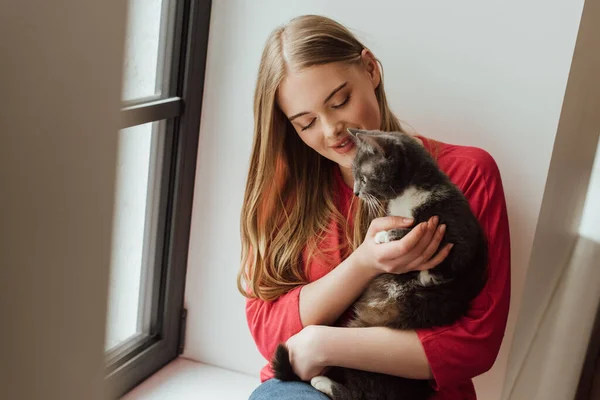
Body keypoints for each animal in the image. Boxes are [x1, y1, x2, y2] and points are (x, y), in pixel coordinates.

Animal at [272, 130, 488, 398]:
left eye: (364, 178)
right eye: (355, 176)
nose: (356, 193)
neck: (408, 195)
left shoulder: (458, 228)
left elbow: (443, 249)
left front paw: (397, 245)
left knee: (358, 394)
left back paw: (321, 381)